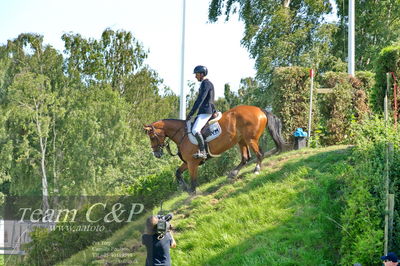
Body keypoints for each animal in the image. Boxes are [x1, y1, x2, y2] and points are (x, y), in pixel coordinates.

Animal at [143, 105, 284, 194]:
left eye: (152, 137)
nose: (156, 154)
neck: (182, 133)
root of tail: (259, 110)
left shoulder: (192, 163)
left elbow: (193, 180)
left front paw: (191, 192)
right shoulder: (188, 162)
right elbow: (178, 172)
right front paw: (184, 187)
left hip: (250, 139)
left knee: (259, 154)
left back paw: (256, 170)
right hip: (241, 140)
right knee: (245, 158)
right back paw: (233, 174)